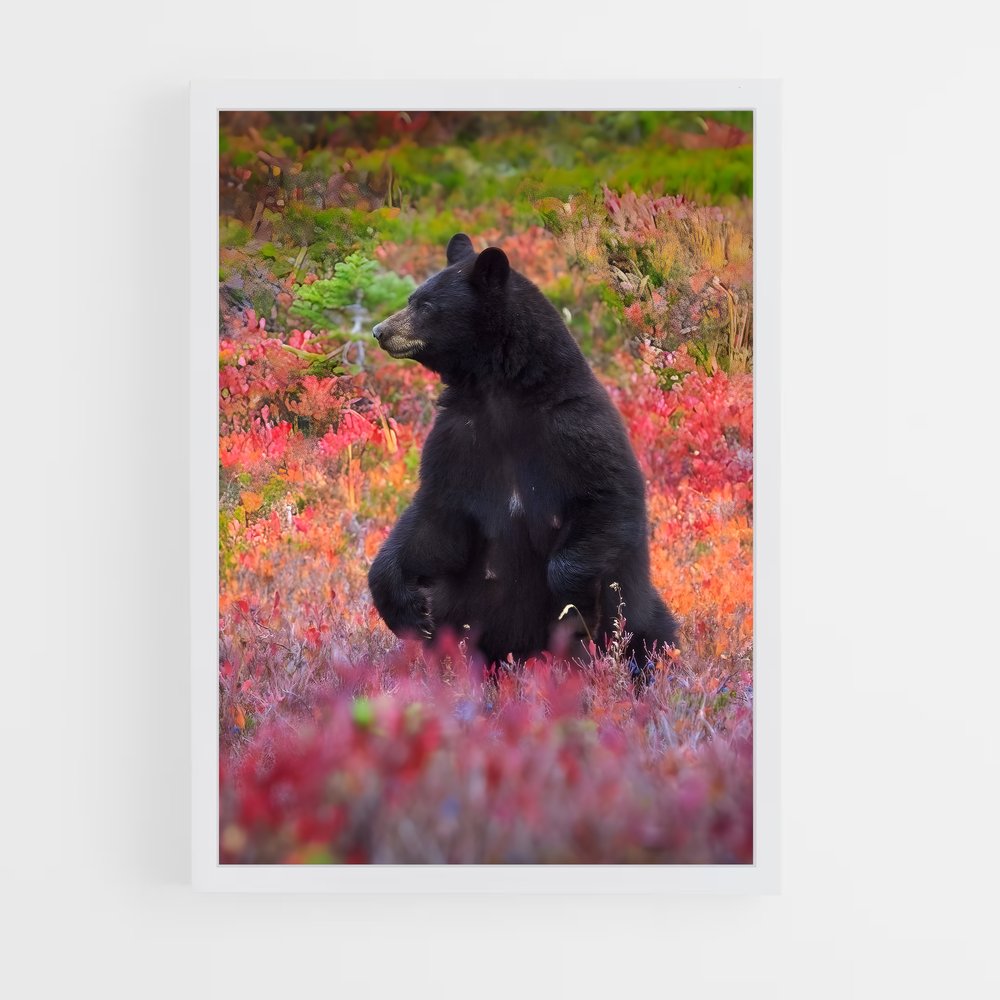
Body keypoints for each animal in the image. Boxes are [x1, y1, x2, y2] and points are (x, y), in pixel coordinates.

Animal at [368, 232, 677, 673]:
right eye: (412, 297)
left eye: (425, 305)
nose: (380, 330)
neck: (500, 395)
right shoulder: (459, 440)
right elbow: (435, 518)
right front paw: (407, 607)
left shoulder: (577, 431)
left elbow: (606, 500)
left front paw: (576, 608)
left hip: (643, 612)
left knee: (649, 634)